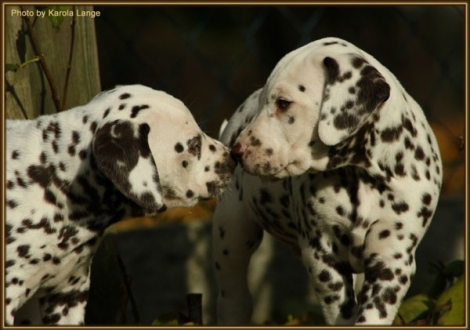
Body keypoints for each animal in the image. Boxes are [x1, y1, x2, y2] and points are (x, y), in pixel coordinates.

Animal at [213, 36, 440, 324]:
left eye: (283, 103)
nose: (236, 152)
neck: (359, 174)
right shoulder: (323, 255)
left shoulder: (392, 259)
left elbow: (372, 315)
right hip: (231, 232)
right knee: (233, 293)